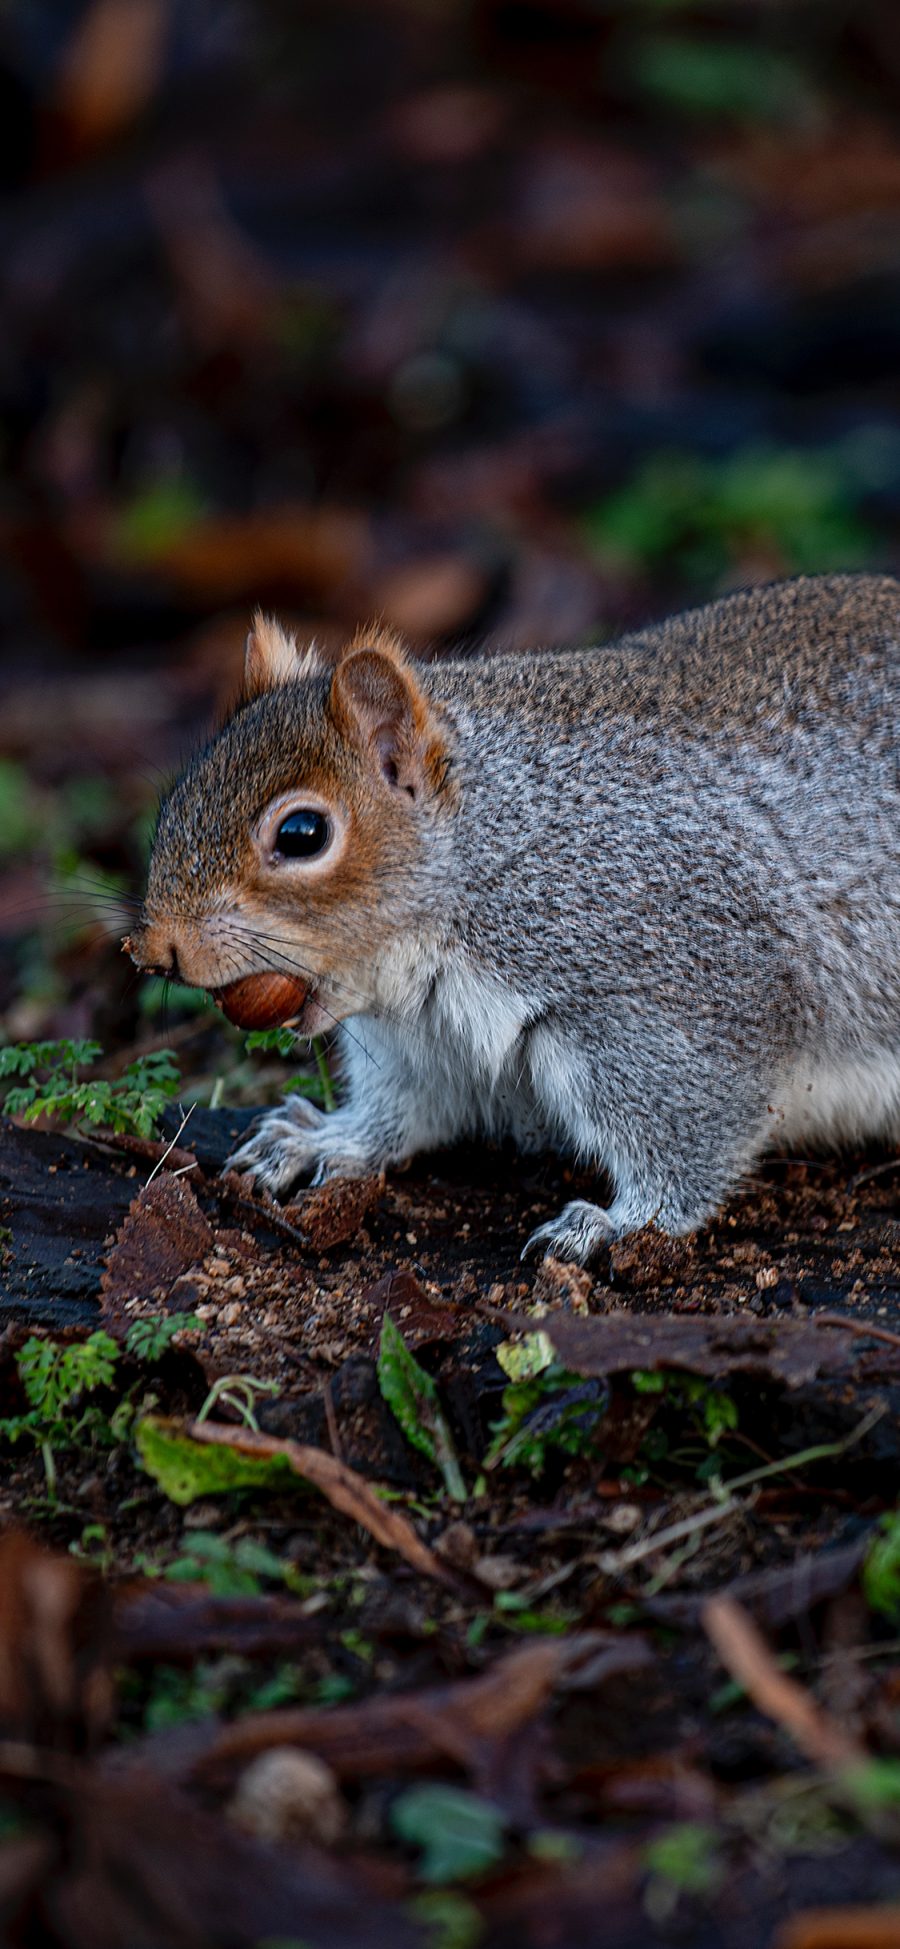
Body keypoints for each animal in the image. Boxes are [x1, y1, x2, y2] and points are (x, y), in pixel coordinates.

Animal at [128, 569, 900, 1262]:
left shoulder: (674, 1000)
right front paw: (327, 1138)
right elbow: (402, 1109)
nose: (159, 949)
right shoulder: (423, 1041)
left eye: (301, 835)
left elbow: (691, 1133)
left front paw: (621, 1223)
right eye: (176, 799)